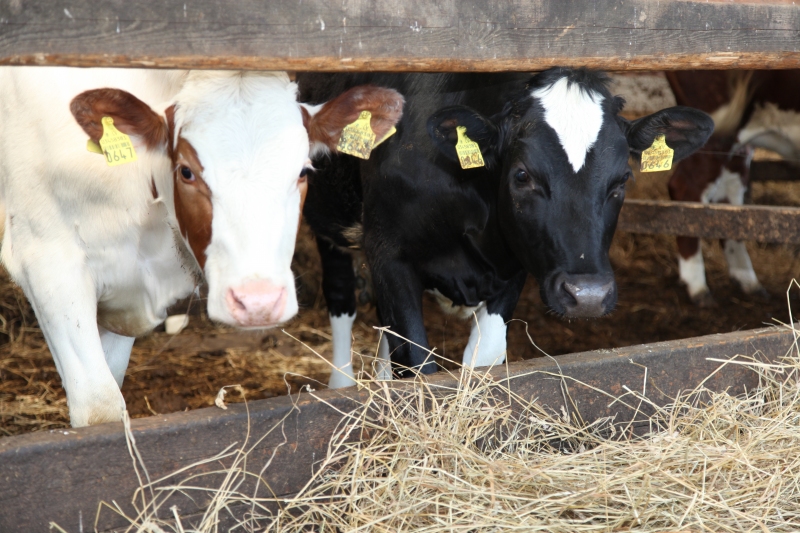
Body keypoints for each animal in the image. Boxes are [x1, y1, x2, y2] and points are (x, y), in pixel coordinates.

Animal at [300, 68, 714, 388]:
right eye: (522, 175)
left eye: (623, 180)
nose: (588, 295)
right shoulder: (389, 254)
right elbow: (419, 364)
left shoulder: (514, 267)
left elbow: (482, 358)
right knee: (341, 297)